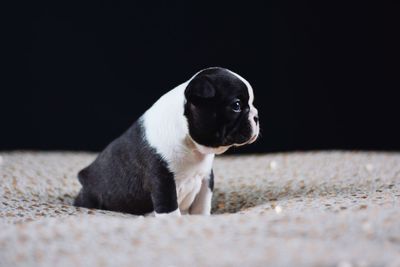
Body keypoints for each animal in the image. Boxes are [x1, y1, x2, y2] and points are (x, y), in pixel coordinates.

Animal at [74, 67, 260, 218]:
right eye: (236, 105)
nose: (257, 116)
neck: (191, 145)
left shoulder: (205, 177)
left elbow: (202, 205)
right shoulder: (162, 180)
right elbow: (169, 208)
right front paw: (174, 222)